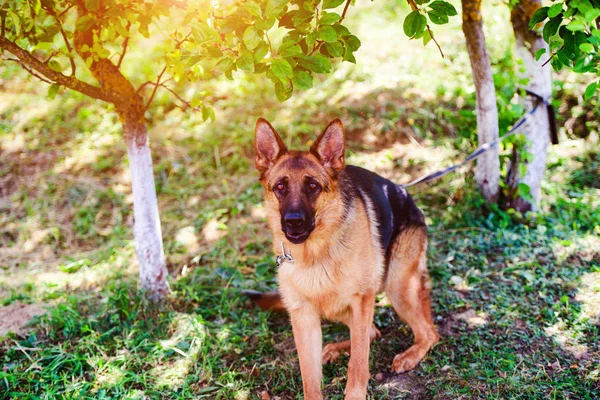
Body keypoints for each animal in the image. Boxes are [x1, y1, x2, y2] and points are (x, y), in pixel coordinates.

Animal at [250, 117, 440, 398]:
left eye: (313, 186)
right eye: (280, 187)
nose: (293, 222)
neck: (316, 252)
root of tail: (404, 192)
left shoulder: (361, 301)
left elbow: (358, 363)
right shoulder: (303, 316)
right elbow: (310, 378)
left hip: (397, 288)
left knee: (428, 333)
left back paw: (409, 355)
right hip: (337, 305)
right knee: (372, 332)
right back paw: (334, 349)